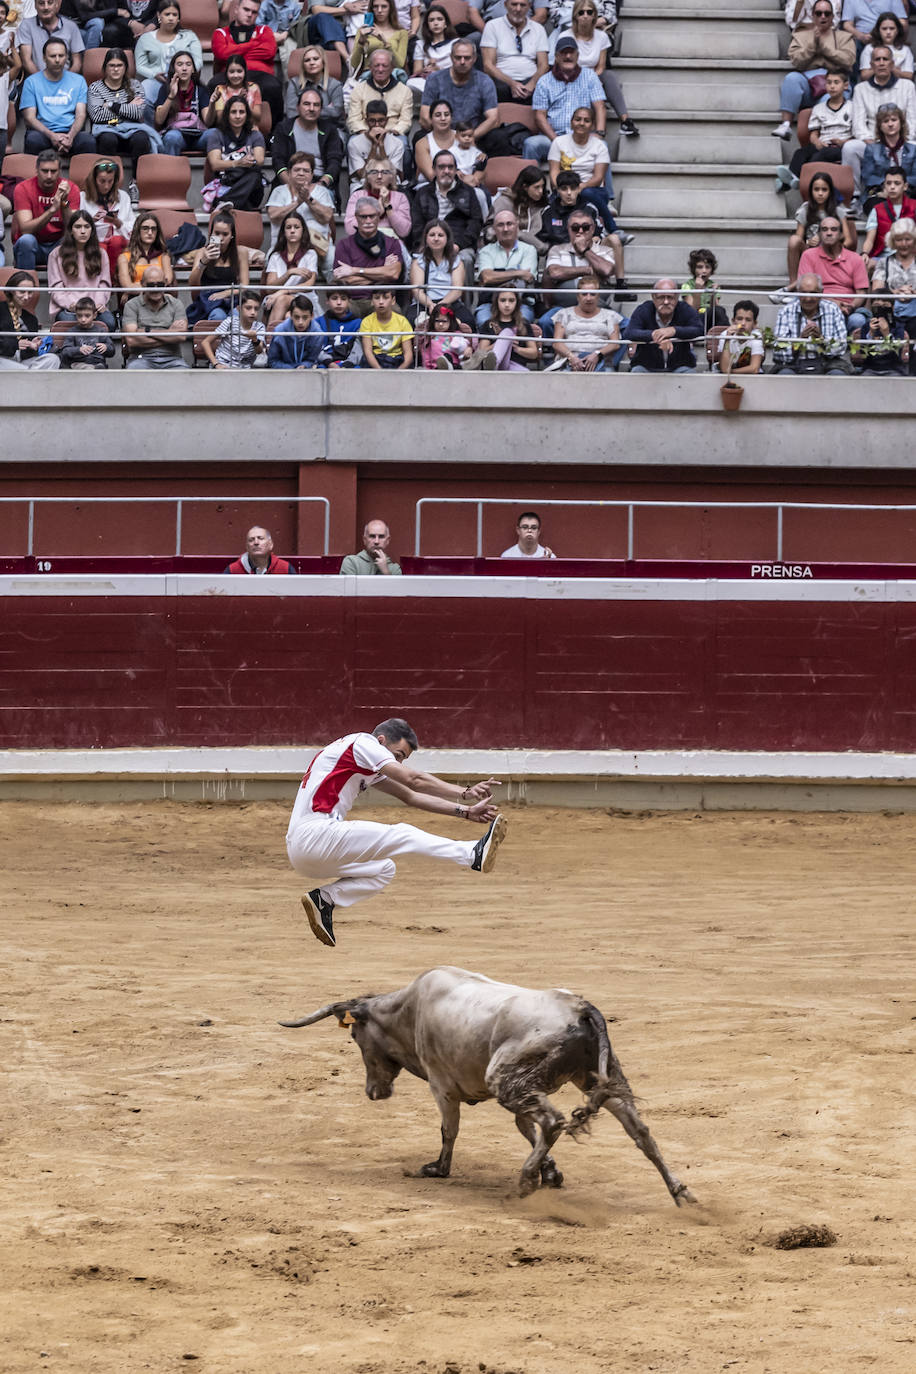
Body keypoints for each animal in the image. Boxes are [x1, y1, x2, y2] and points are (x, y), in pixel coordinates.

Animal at [280, 967, 694, 1203]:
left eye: (354, 1037)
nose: (373, 1092)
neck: (408, 1010)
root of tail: (580, 1007)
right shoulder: (522, 1091)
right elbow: (525, 1130)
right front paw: (551, 1174)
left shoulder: (443, 1086)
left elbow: (449, 1130)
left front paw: (437, 1169)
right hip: (597, 1078)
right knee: (639, 1131)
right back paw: (682, 1194)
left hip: (505, 1079)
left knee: (554, 1121)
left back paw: (524, 1183)